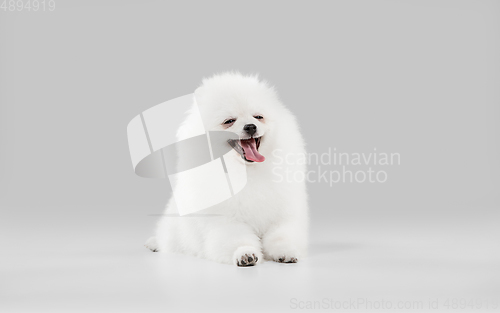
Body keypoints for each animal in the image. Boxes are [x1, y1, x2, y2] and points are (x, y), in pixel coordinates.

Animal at [146, 73, 308, 266]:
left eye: (258, 117)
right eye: (229, 121)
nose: (250, 126)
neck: (246, 172)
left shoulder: (282, 215)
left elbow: (281, 236)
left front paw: (285, 251)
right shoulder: (226, 220)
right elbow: (237, 239)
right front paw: (245, 254)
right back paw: (155, 243)